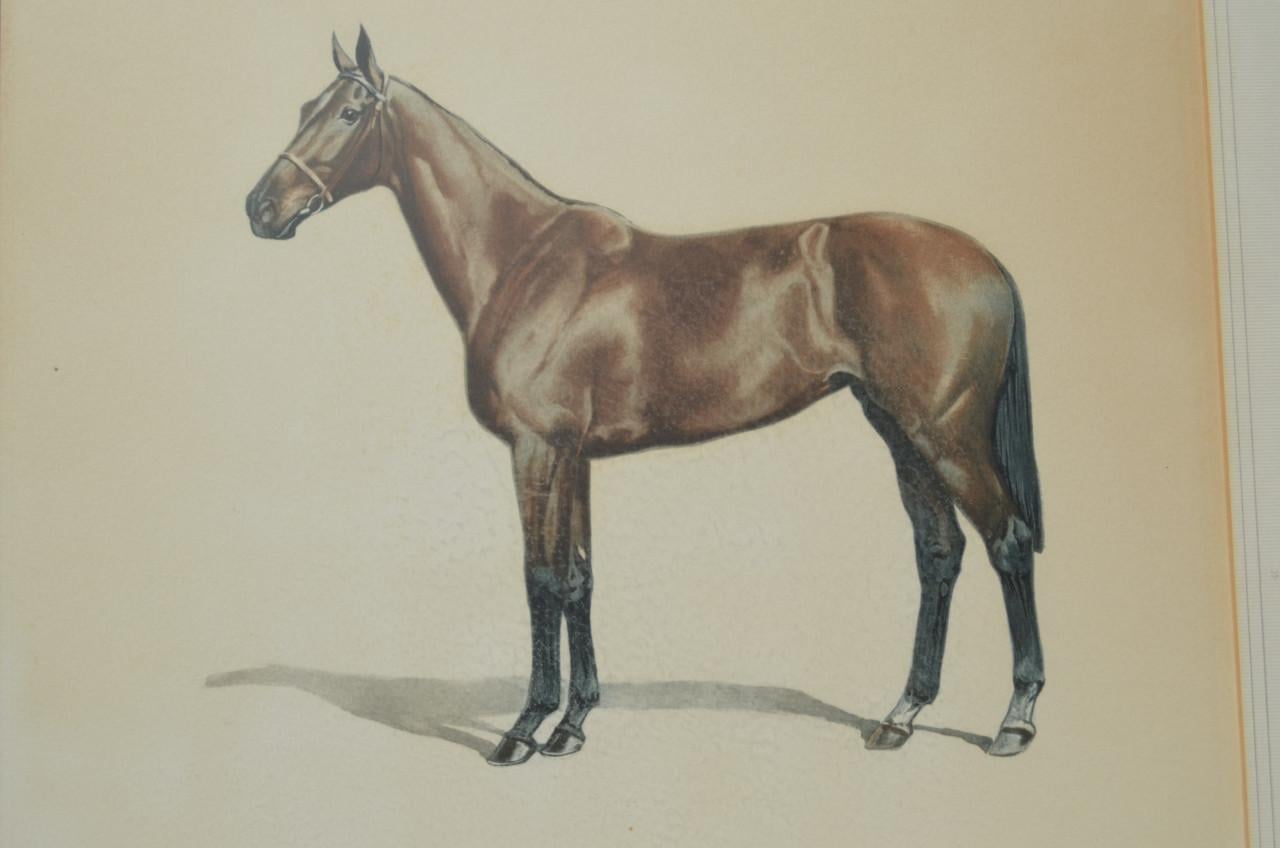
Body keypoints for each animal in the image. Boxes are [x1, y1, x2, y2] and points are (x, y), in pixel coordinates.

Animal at [245, 28, 1045, 766]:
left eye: (350, 112)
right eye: (306, 108)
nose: (261, 207)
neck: (522, 258)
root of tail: (989, 262)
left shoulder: (537, 449)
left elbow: (540, 577)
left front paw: (523, 728)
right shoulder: (575, 456)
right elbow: (579, 578)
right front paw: (572, 724)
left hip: (945, 434)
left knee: (1006, 541)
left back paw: (1014, 720)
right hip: (899, 431)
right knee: (939, 552)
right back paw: (901, 715)